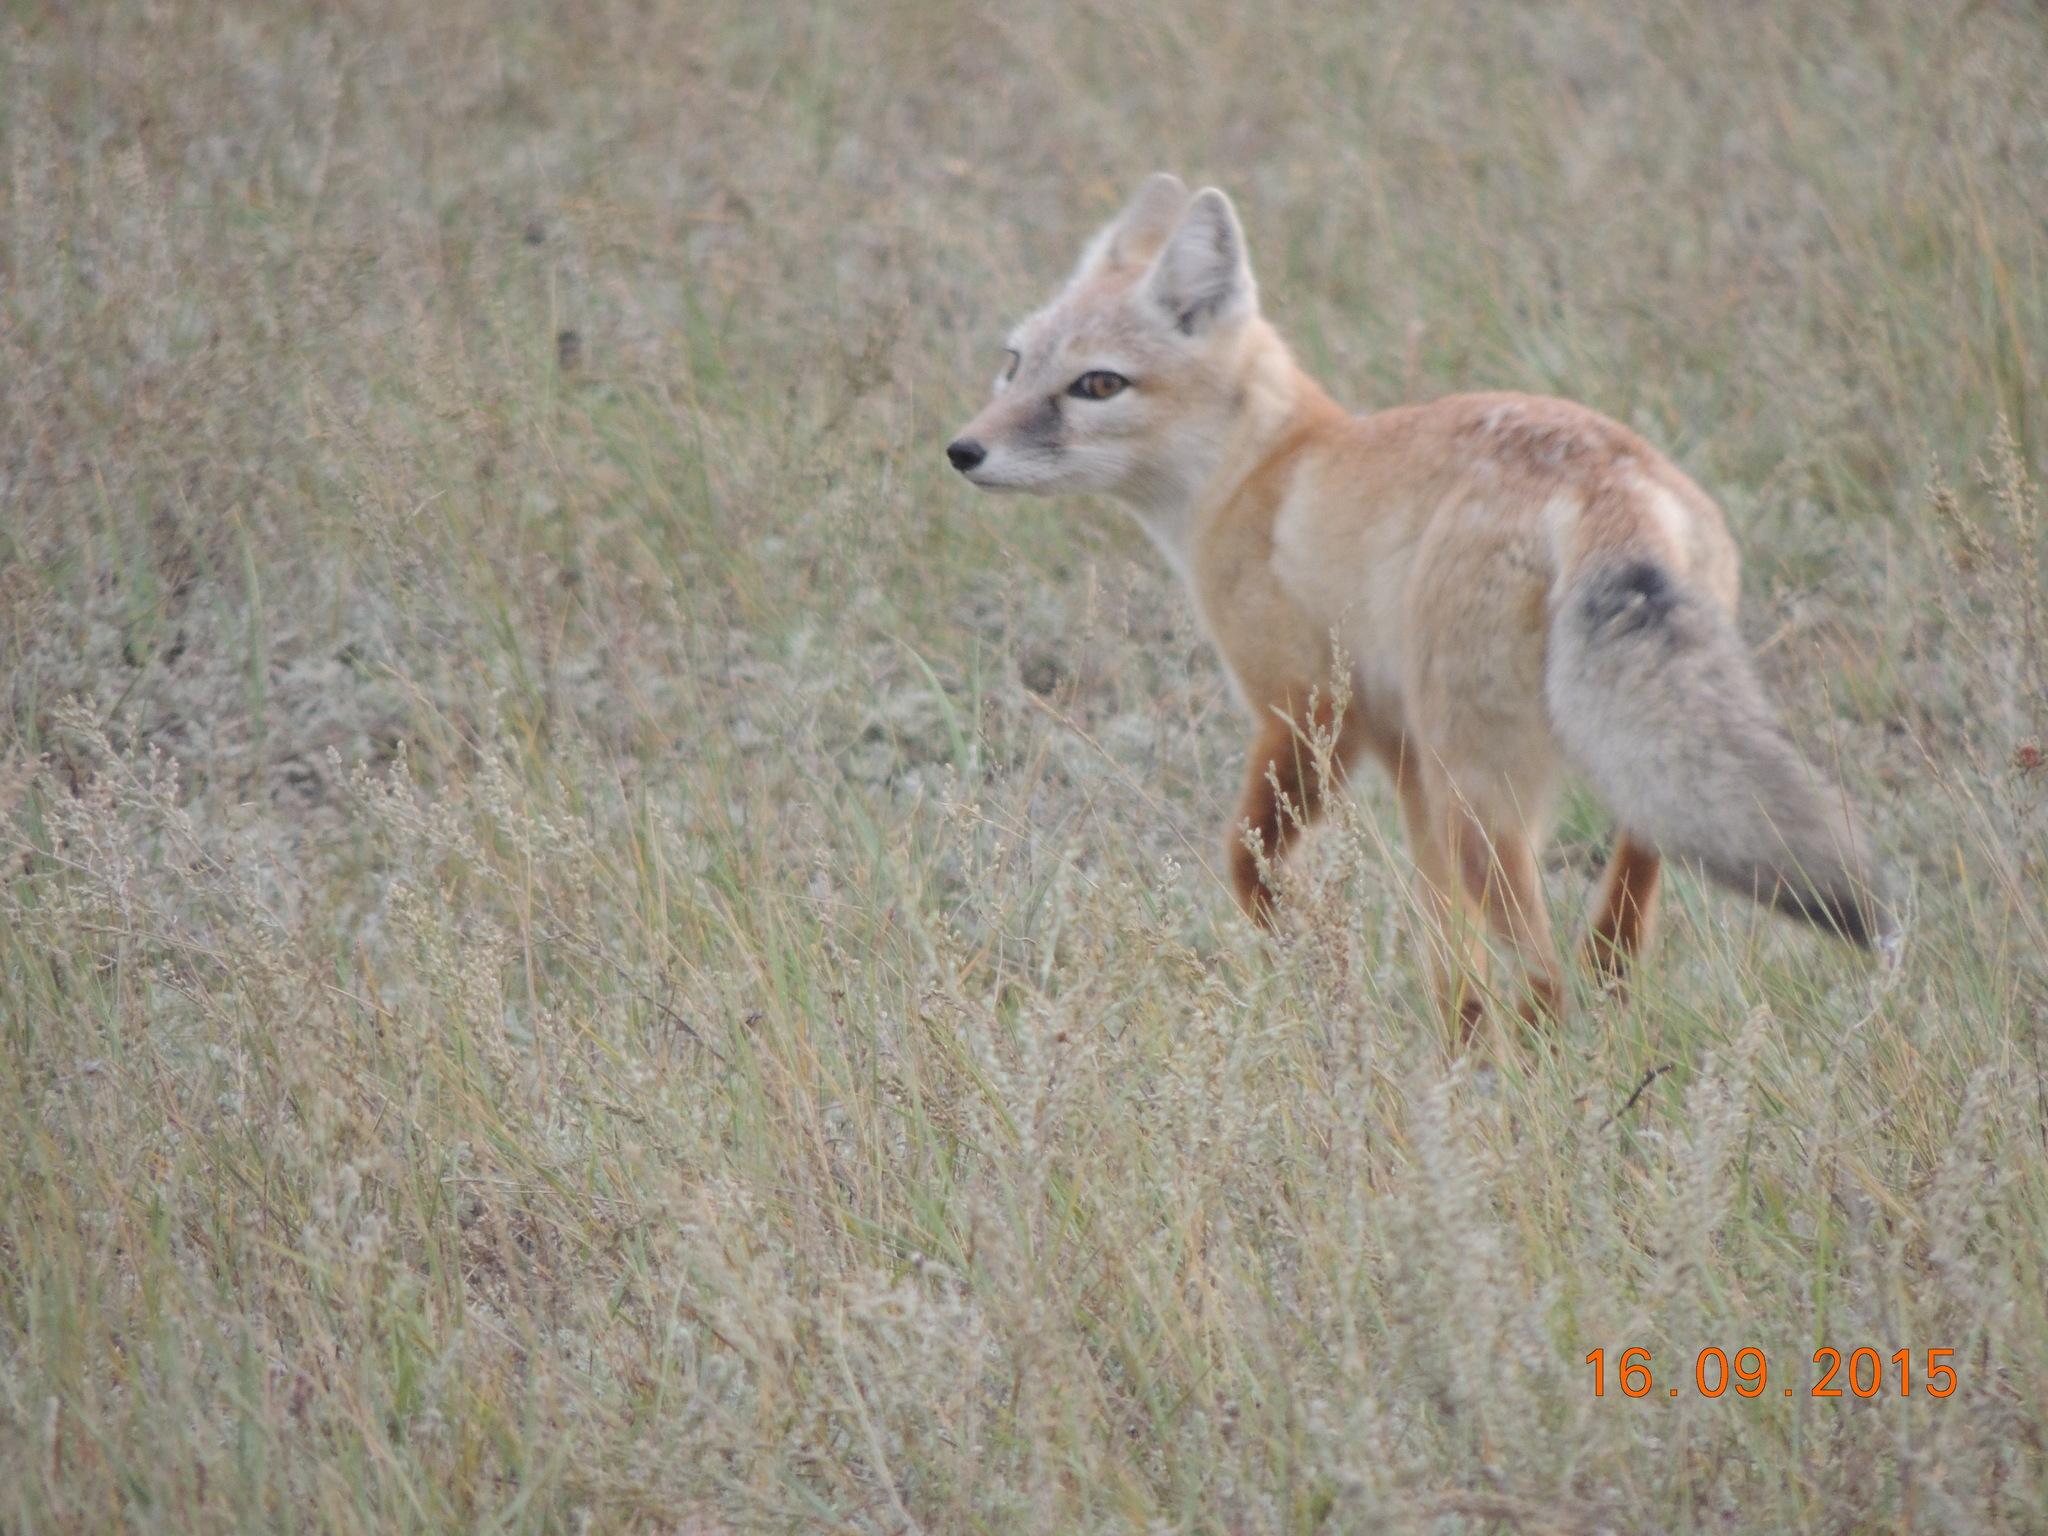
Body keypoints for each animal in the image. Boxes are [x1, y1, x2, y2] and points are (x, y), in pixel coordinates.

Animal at [946, 172, 1895, 1025]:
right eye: (1014, 365)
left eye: (1098, 385)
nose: (963, 451)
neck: (1267, 469)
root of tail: (1608, 479)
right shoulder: (1399, 758)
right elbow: (1445, 939)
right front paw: (1456, 1035)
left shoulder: (1307, 714)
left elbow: (1248, 867)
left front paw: (1306, 962)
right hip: (1571, 778)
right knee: (1626, 895)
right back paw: (1596, 1005)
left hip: (1479, 794)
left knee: (1541, 965)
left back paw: (1547, 1058)